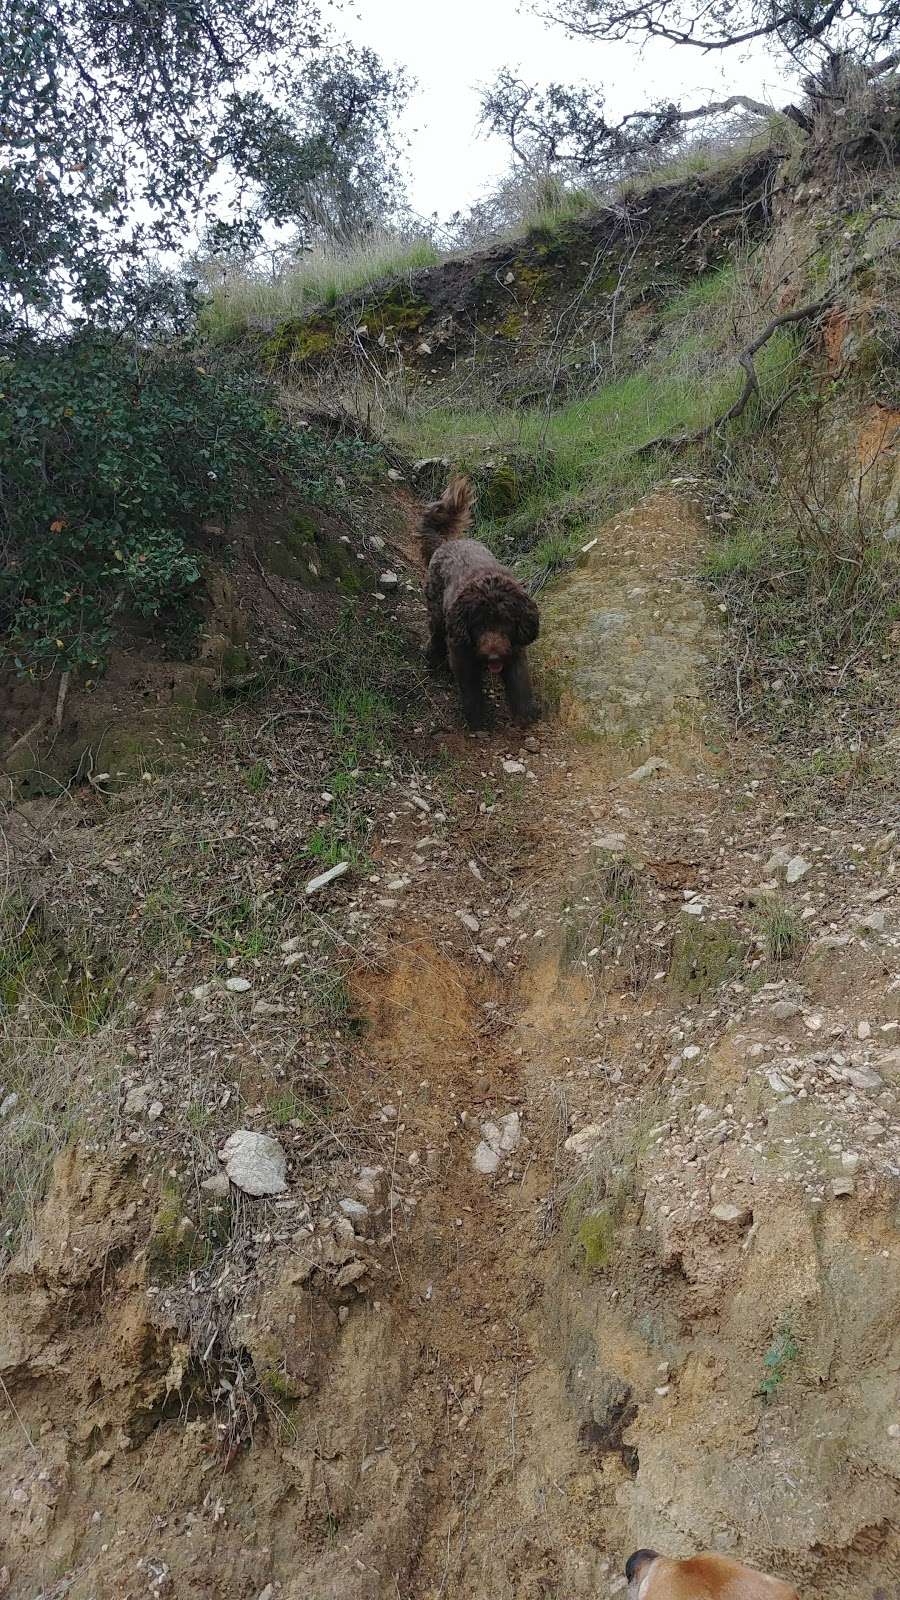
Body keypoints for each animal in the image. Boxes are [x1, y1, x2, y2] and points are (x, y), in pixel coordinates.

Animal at [416, 473, 534, 726]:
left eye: (506, 623)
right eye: (478, 625)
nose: (493, 656)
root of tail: (446, 542)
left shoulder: (515, 650)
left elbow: (519, 682)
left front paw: (526, 713)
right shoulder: (462, 654)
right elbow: (470, 690)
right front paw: (477, 718)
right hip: (437, 613)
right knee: (436, 636)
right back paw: (434, 659)